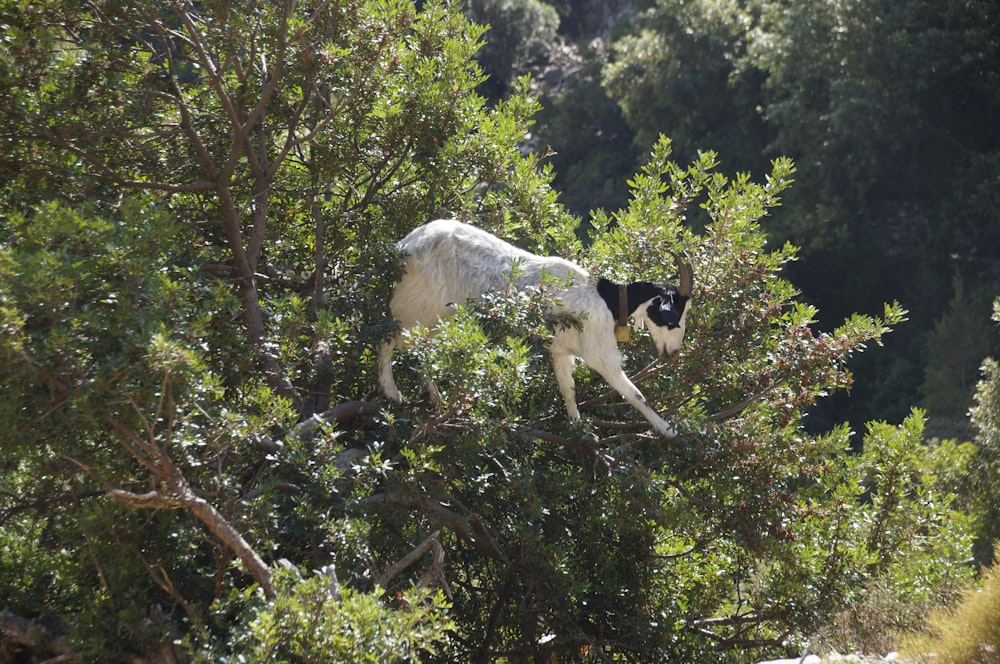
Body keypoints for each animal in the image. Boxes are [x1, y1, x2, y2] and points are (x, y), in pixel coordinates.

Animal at [376, 219, 696, 440]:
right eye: (673, 317)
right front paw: (668, 429)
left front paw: (579, 428)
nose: (673, 353)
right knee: (391, 337)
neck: (607, 300)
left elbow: (568, 389)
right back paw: (392, 392)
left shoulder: (561, 350)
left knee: (420, 350)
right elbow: (634, 394)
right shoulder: (600, 352)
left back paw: (437, 400)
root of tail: (406, 245)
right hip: (417, 305)